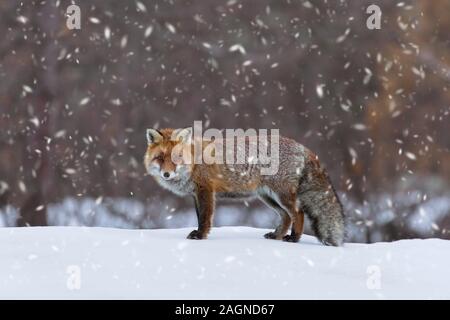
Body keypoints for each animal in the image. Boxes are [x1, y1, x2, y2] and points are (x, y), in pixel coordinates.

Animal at [144, 127, 344, 245]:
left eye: (176, 158)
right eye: (160, 158)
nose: (166, 174)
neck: (194, 162)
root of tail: (302, 147)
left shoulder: (205, 190)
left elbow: (205, 218)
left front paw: (200, 236)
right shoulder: (195, 194)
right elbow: (199, 216)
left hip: (282, 195)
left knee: (298, 213)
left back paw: (294, 238)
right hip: (267, 197)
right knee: (286, 216)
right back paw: (276, 235)